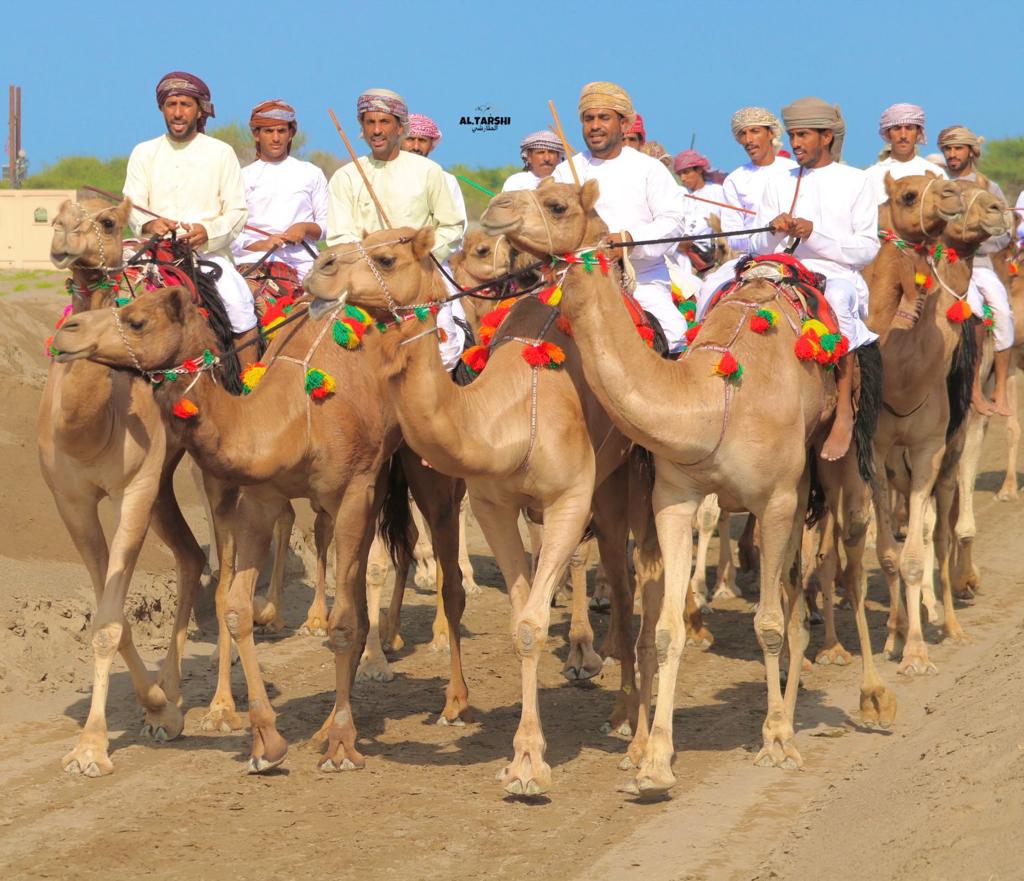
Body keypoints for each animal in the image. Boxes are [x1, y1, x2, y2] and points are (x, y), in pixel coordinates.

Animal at [42, 198, 207, 776]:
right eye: (55, 216)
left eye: (108, 222)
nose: (63, 237)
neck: (89, 424)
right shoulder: (71, 501)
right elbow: (110, 616)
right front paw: (153, 707)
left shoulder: (133, 490)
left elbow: (112, 622)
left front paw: (95, 747)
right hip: (165, 484)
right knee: (192, 555)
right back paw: (172, 689)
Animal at [53, 282, 467, 774]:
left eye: (137, 320)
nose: (67, 331)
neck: (293, 418)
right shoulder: (260, 499)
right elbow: (237, 609)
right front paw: (267, 742)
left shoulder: (350, 493)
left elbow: (343, 622)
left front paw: (342, 748)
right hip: (379, 482)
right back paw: (328, 722)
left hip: (422, 462)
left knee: (447, 569)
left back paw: (453, 702)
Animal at [303, 227, 663, 796]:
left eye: (388, 256)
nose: (320, 268)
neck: (507, 416)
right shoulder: (494, 505)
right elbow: (521, 625)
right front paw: (523, 757)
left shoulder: (568, 500)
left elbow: (537, 621)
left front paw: (531, 768)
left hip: (624, 472)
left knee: (633, 586)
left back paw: (631, 728)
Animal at [481, 177, 874, 793]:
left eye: (557, 203)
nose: (494, 211)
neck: (715, 402)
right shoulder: (675, 496)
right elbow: (668, 629)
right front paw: (654, 762)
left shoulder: (776, 499)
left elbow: (766, 624)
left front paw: (776, 741)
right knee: (791, 592)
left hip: (828, 468)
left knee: (842, 560)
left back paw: (870, 696)